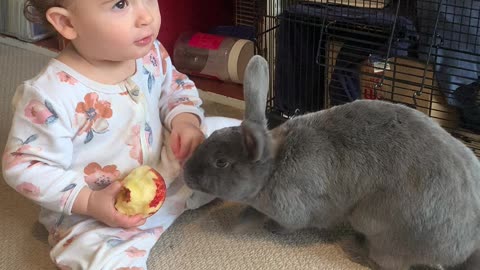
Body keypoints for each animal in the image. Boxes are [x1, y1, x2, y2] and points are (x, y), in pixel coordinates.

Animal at [184, 55, 480, 270]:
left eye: (221, 162)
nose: (186, 174)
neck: (272, 169)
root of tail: (467, 244)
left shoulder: (294, 210)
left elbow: (285, 224)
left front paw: (257, 225)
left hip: (379, 226)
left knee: (388, 262)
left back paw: (353, 249)